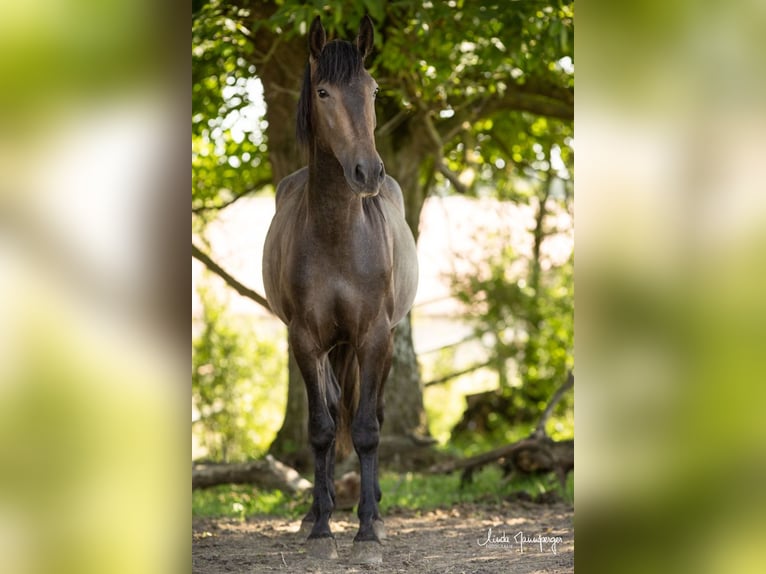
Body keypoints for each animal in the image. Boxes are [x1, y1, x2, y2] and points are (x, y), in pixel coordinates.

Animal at [262, 15, 419, 564]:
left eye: (372, 90)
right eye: (324, 91)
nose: (367, 172)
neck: (336, 234)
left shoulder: (373, 336)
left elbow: (367, 429)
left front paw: (368, 530)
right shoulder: (306, 339)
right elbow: (322, 428)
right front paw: (322, 529)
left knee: (368, 413)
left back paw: (375, 511)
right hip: (328, 348)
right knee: (331, 413)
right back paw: (317, 511)